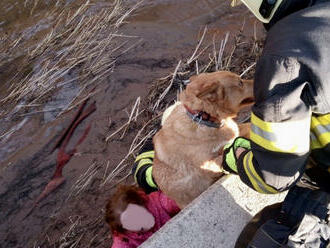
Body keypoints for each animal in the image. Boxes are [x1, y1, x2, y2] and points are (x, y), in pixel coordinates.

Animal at [151, 70, 253, 207]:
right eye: (240, 83)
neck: (204, 119)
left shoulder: (235, 132)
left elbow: (248, 127)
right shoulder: (208, 166)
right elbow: (222, 155)